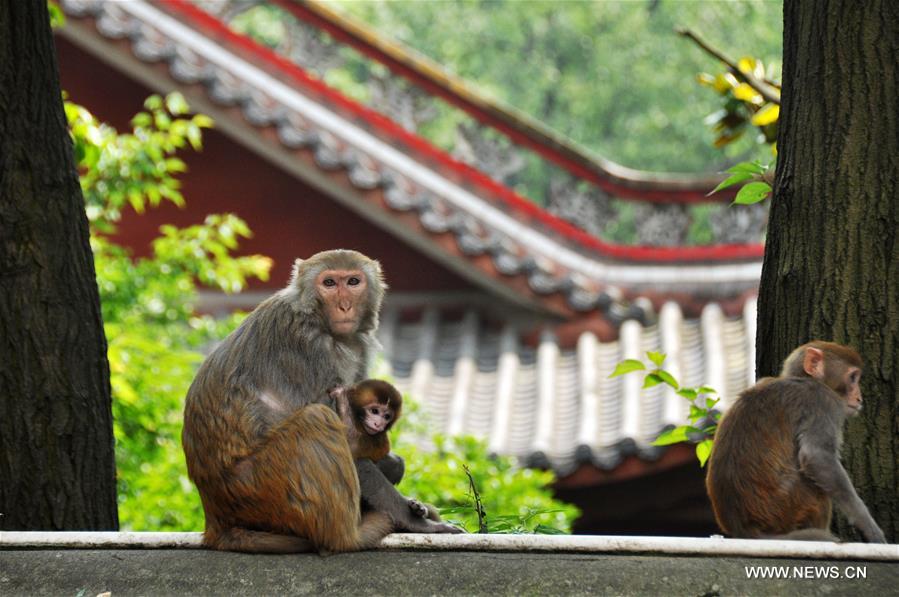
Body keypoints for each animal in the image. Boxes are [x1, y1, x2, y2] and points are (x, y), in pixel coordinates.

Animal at [185, 249, 464, 552]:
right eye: (329, 283)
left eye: (353, 281)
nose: (344, 305)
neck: (319, 320)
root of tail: (217, 521)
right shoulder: (306, 345)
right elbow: (350, 442)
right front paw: (416, 522)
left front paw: (393, 468)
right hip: (260, 490)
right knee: (316, 419)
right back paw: (350, 535)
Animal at [708, 338, 888, 544]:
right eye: (852, 378)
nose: (859, 398)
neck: (805, 379)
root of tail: (746, 531)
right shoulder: (823, 402)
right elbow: (818, 457)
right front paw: (870, 527)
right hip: (790, 505)